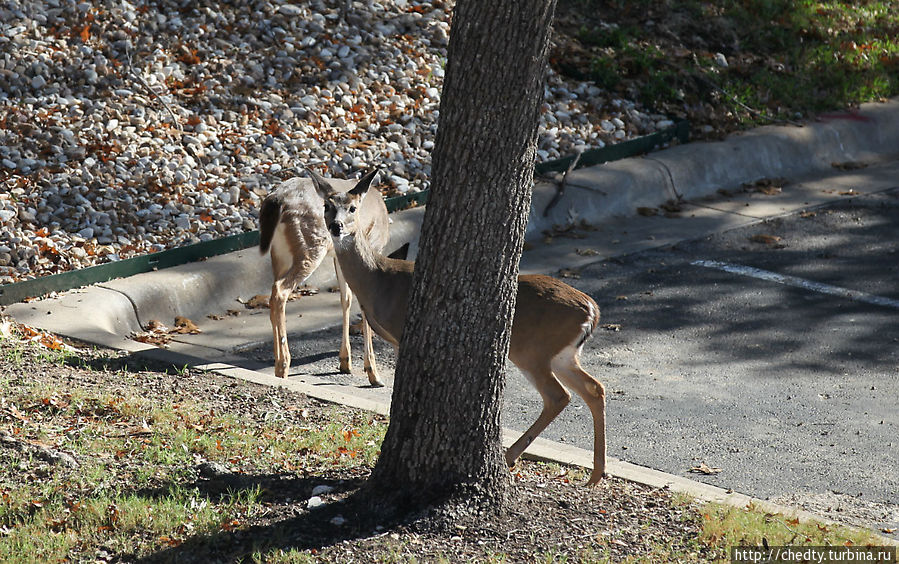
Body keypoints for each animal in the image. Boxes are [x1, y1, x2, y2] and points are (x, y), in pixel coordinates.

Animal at [256, 171, 390, 384]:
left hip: (279, 253)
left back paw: (278, 364)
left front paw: (345, 361)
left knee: (272, 293)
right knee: (279, 291)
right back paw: (283, 365)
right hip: (310, 246)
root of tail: (276, 199)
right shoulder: (373, 248)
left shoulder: (339, 256)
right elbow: (362, 302)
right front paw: (372, 373)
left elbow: (346, 298)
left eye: (351, 208)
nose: (336, 226)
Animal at [310, 166, 612, 484]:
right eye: (326, 206)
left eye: (353, 208)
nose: (336, 227)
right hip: (563, 354)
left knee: (559, 395)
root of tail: (591, 310)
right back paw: (595, 474)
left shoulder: (402, 334)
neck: (378, 280)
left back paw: (511, 456)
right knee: (594, 388)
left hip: (533, 349)